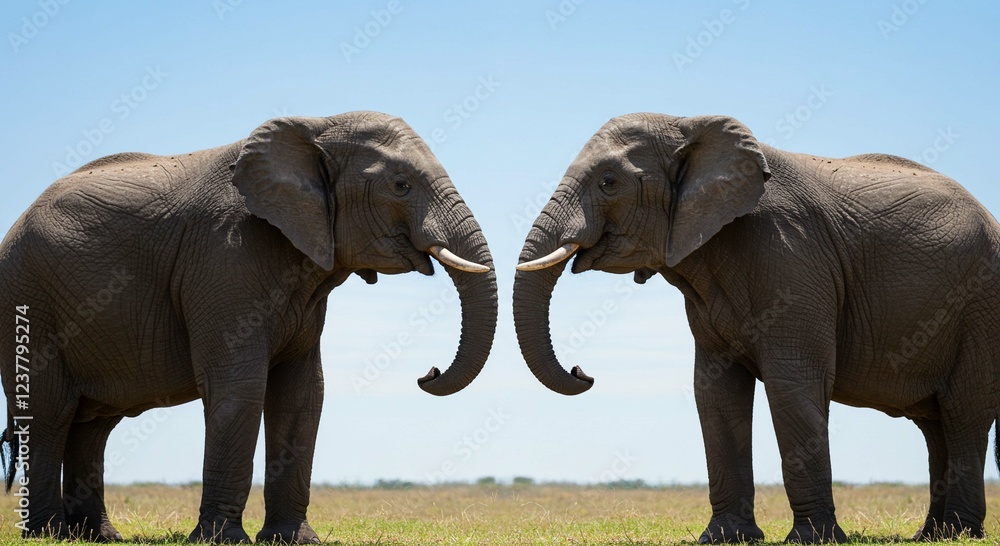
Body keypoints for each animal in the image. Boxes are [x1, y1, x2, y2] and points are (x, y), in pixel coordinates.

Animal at [0, 112, 498, 542]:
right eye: (400, 185)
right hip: (27, 303)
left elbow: (303, 392)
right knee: (49, 412)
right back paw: (47, 534)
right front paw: (221, 540)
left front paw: (293, 540)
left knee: (92, 425)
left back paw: (98, 536)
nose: (428, 373)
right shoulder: (223, 257)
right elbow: (239, 385)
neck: (316, 126)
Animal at [512, 113, 1000, 543]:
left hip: (980, 308)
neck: (686, 123)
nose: (582, 372)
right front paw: (724, 538)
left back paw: (960, 533)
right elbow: (715, 390)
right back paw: (932, 534)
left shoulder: (792, 258)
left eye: (609, 182)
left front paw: (812, 540)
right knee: (935, 424)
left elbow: (792, 385)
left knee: (963, 414)